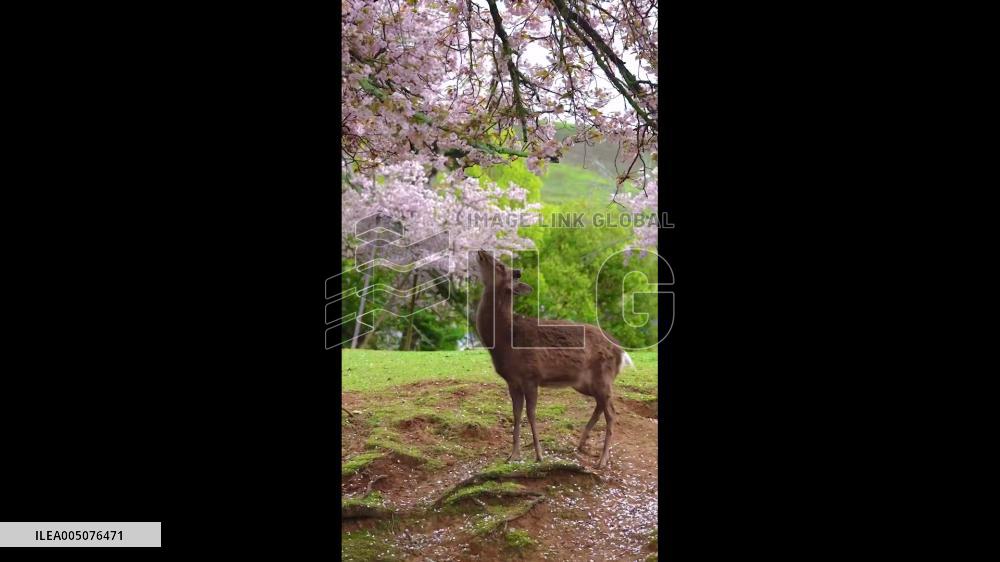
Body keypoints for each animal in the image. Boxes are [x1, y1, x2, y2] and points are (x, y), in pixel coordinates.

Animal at [473, 249, 634, 469]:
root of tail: (621, 351)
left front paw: (539, 455)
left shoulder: (531, 376)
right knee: (601, 406)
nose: (482, 252)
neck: (506, 340)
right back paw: (581, 444)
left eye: (500, 266)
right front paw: (513, 455)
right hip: (584, 383)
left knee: (612, 413)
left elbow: (531, 414)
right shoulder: (513, 381)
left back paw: (602, 460)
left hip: (603, 377)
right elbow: (516, 414)